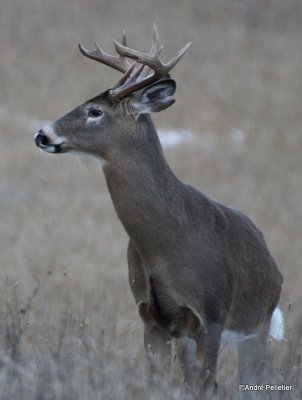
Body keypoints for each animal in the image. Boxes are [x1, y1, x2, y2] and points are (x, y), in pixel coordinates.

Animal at [34, 24, 284, 396]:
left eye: (95, 112)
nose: (41, 133)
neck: (167, 244)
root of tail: (273, 263)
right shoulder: (151, 318)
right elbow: (158, 383)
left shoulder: (211, 315)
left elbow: (205, 385)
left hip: (258, 325)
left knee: (251, 380)